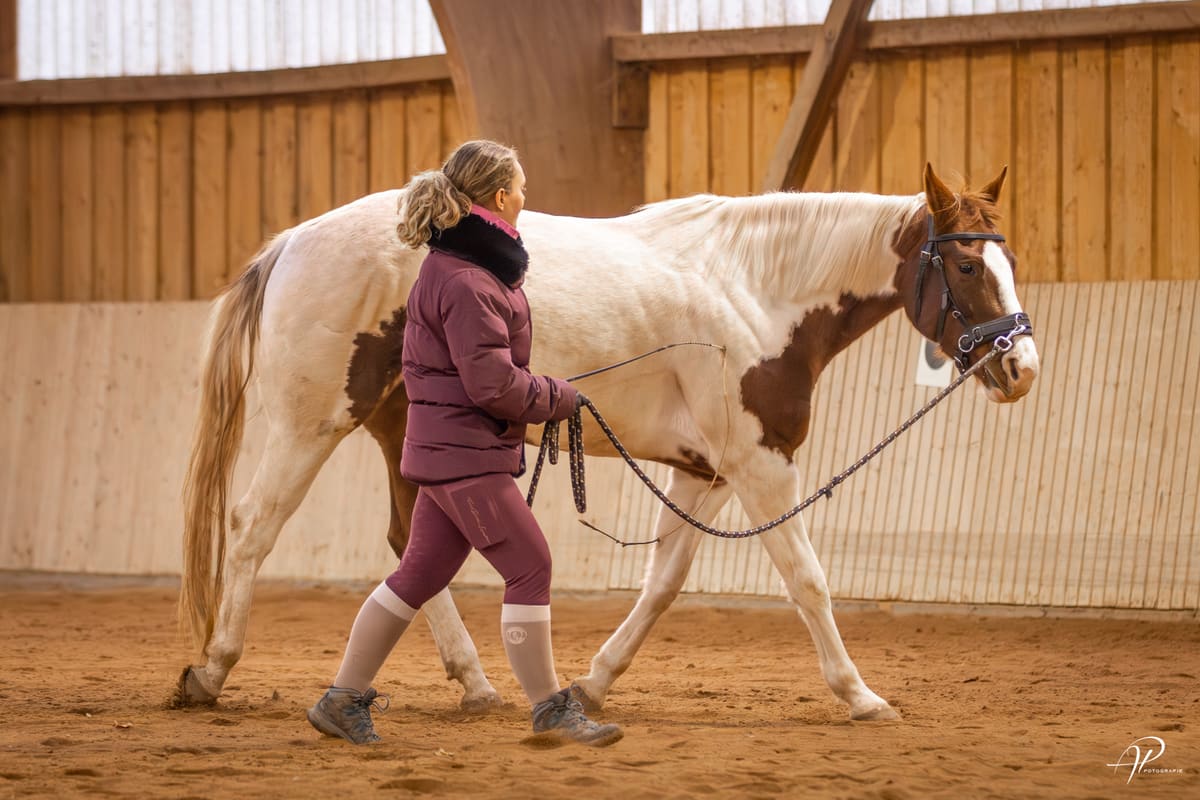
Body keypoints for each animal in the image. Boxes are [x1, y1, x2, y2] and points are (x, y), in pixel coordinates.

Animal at [174, 164, 1039, 722]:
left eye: (1010, 257)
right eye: (967, 263)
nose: (1021, 366)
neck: (755, 289)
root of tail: (291, 243)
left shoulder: (702, 474)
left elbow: (662, 585)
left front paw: (592, 684)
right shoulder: (760, 467)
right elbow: (807, 580)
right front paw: (859, 695)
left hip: (405, 438)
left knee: (407, 545)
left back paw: (475, 683)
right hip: (309, 423)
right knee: (252, 528)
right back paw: (211, 671)